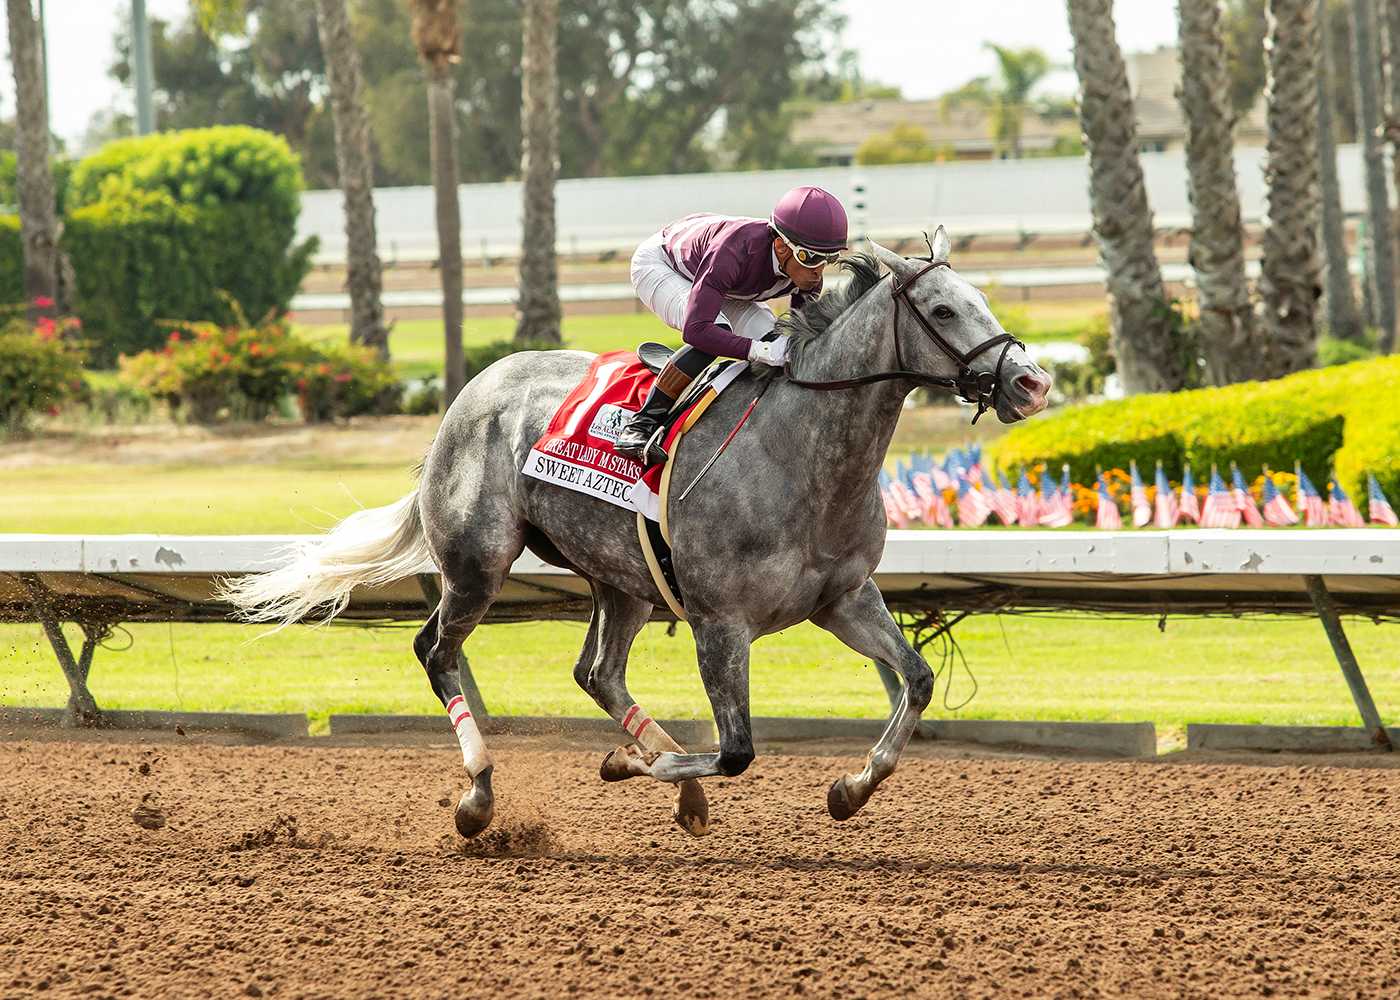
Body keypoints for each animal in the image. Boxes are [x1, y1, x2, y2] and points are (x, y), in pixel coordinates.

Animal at [219, 229, 1051, 840]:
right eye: (942, 311)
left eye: (977, 299)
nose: (1032, 382)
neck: (801, 454)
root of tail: (466, 397)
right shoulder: (720, 621)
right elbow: (738, 751)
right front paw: (627, 767)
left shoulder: (841, 598)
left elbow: (917, 680)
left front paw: (848, 788)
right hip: (477, 565)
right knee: (437, 652)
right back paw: (479, 794)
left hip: (622, 581)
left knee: (597, 672)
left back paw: (667, 781)